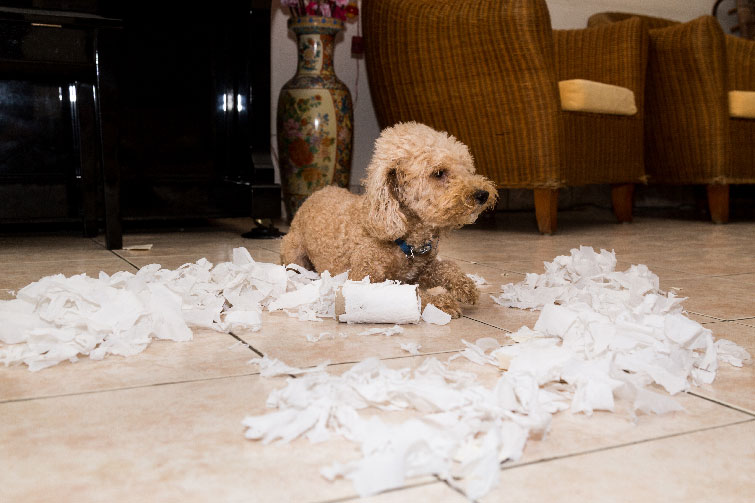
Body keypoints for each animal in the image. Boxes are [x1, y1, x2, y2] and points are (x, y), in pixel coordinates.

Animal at [280, 121, 500, 316]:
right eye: (438, 173)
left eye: (466, 167)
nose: (483, 194)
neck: (405, 240)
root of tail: (313, 195)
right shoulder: (364, 280)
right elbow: (410, 294)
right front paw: (439, 301)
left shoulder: (422, 270)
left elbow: (446, 266)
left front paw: (465, 285)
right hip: (293, 253)